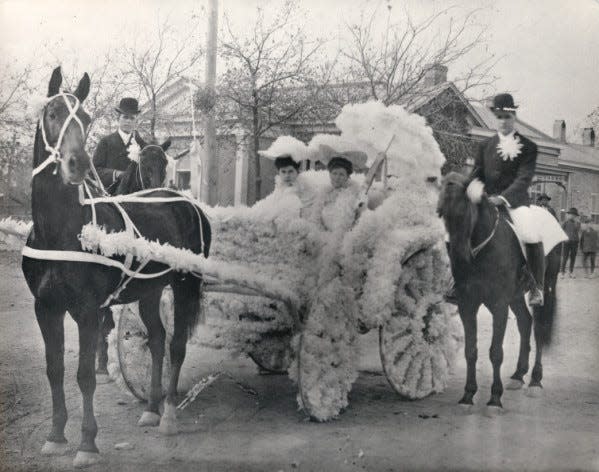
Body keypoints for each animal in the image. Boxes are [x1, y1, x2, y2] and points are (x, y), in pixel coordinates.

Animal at [22, 67, 212, 468]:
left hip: (185, 285)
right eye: (52, 114)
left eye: (86, 118)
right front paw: (55, 436)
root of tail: (189, 204)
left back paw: (169, 415)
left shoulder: (87, 311)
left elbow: (84, 376)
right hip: (150, 290)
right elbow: (54, 369)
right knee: (156, 339)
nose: (76, 164)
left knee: (175, 346)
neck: (61, 231)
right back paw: (151, 408)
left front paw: (87, 443)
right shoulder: (45, 308)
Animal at [436, 171, 564, 412]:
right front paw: (468, 394)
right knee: (525, 322)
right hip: (515, 296)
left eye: (465, 213)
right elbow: (471, 351)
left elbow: (495, 352)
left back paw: (535, 380)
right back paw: (518, 375)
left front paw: (495, 398)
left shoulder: (498, 305)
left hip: (546, 286)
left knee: (539, 327)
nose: (461, 259)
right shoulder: (468, 305)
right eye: (444, 217)